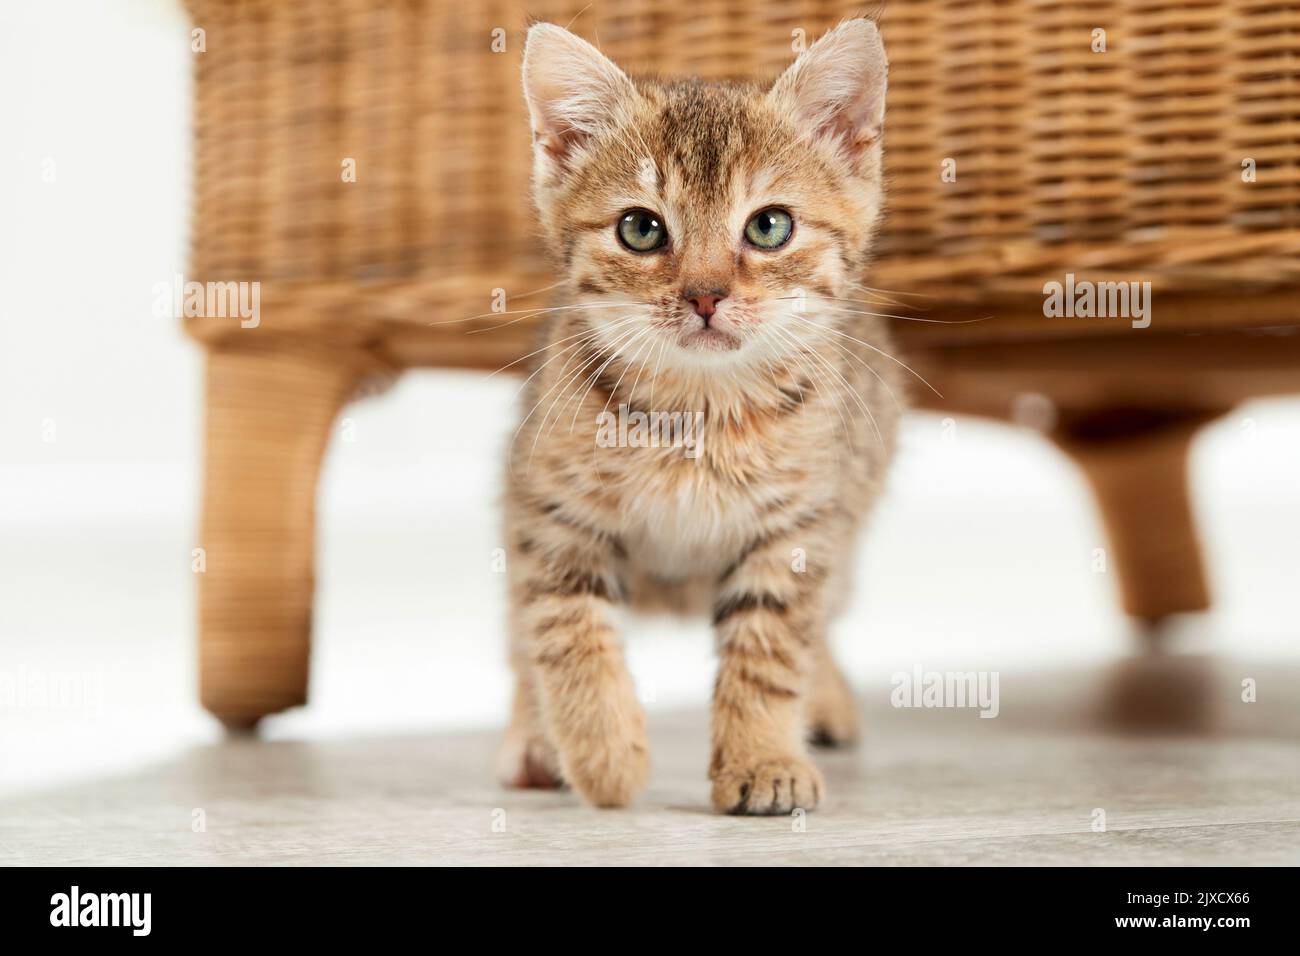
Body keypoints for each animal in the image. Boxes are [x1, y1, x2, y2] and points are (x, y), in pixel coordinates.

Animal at [499, 18, 904, 816]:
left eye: (770, 226)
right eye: (641, 229)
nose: (706, 295)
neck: (699, 412)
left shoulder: (799, 530)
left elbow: (771, 650)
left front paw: (763, 759)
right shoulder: (551, 517)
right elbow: (565, 634)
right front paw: (603, 755)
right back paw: (533, 739)